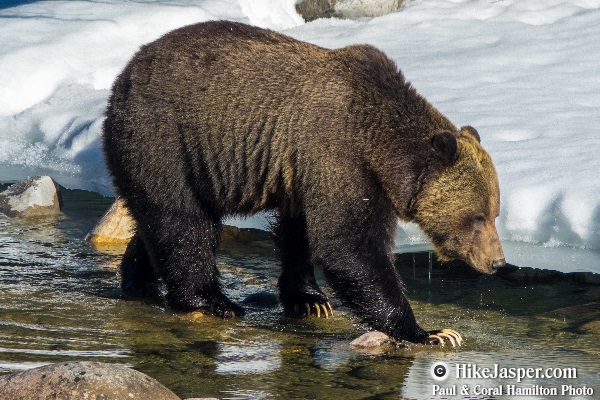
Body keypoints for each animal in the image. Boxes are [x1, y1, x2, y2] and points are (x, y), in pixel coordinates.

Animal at [102, 20, 502, 346]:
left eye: (494, 213)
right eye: (478, 216)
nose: (497, 261)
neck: (381, 149)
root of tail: (128, 69)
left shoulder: (302, 172)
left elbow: (300, 233)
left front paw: (310, 299)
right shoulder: (340, 157)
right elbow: (349, 246)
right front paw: (430, 331)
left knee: (160, 222)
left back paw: (137, 279)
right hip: (166, 138)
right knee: (184, 220)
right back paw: (212, 300)